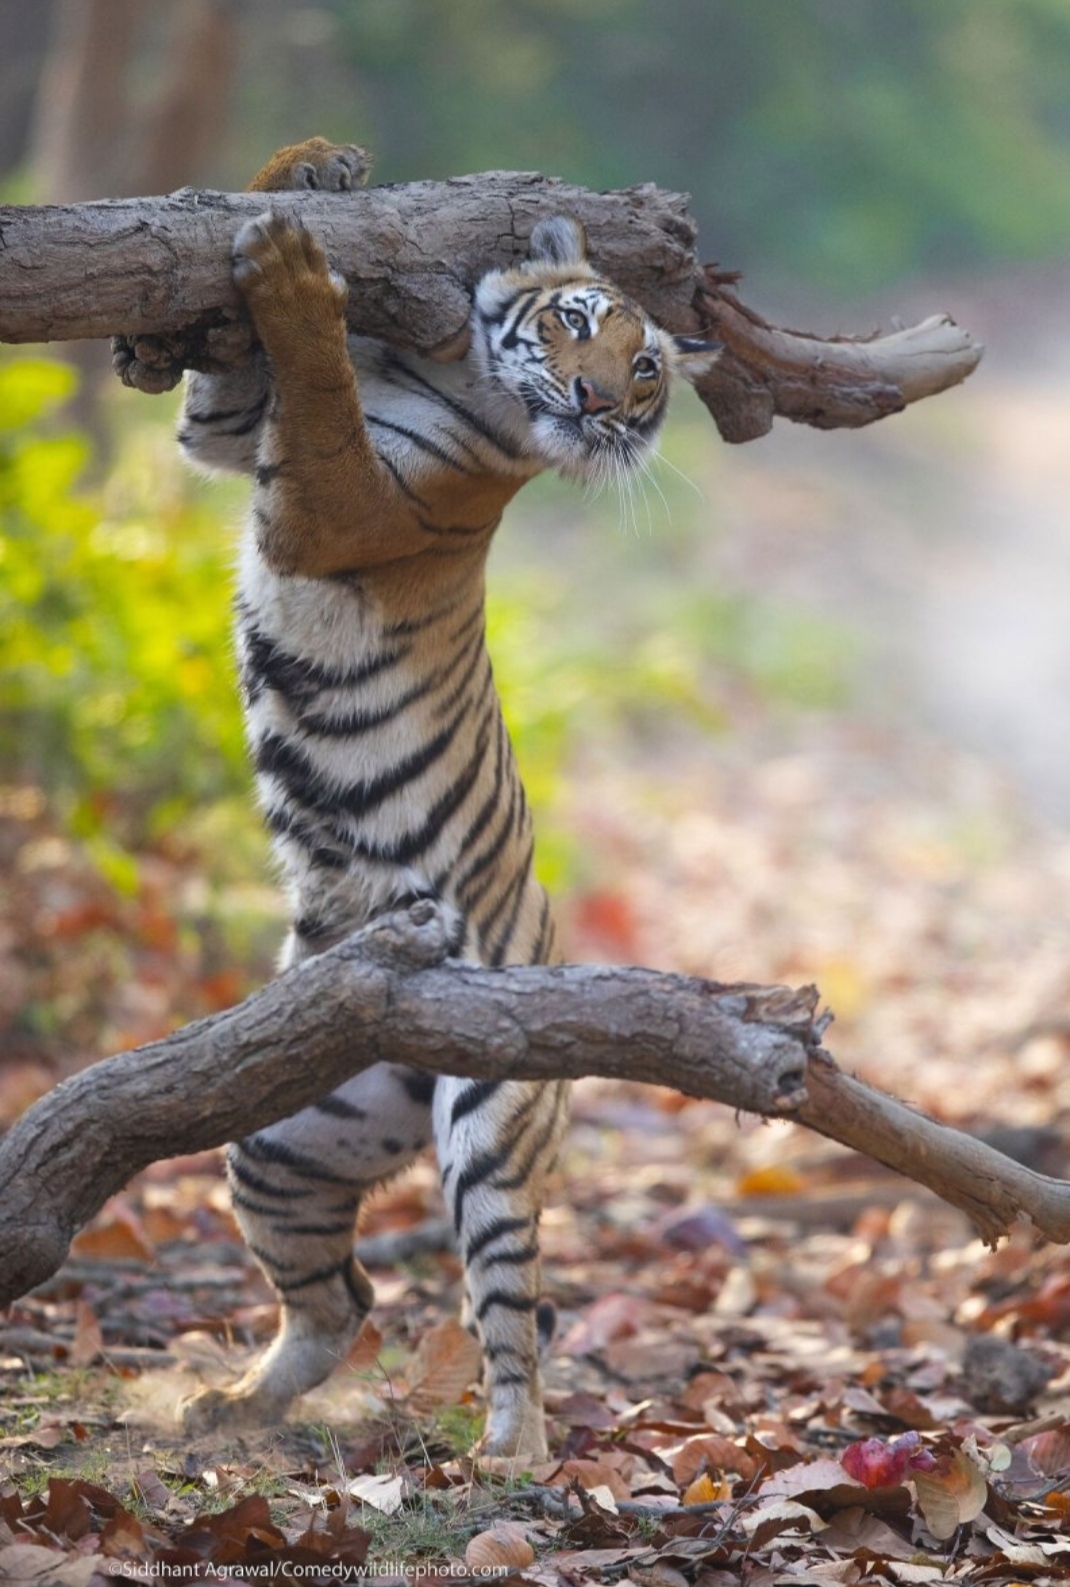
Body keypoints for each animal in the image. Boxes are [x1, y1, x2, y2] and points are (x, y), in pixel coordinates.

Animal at [174, 142, 717, 1453]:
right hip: (278, 1134)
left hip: (490, 1125)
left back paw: (507, 1458)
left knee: (507, 1314)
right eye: (577, 321)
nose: (599, 402)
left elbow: (316, 394)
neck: (446, 363)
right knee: (342, 1298)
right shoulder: (225, 440)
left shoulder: (340, 504)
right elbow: (225, 395)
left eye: (645, 367)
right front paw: (304, 173)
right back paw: (230, 1407)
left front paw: (296, 275)